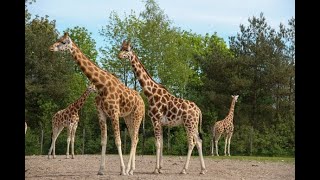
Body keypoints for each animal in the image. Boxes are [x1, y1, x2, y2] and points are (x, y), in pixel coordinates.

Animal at [48, 32, 145, 176]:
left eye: (64, 42)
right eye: (58, 39)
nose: (51, 48)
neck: (102, 85)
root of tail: (143, 101)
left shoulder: (114, 113)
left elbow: (118, 141)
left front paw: (122, 170)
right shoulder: (101, 114)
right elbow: (103, 141)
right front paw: (101, 170)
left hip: (137, 115)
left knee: (134, 138)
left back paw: (128, 170)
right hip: (128, 117)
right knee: (135, 138)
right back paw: (132, 169)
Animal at [119, 40, 206, 174]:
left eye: (127, 50)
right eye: (120, 48)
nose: (119, 56)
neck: (150, 93)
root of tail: (198, 110)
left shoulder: (155, 120)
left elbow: (158, 144)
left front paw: (155, 169)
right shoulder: (160, 123)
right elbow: (162, 143)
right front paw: (160, 168)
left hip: (189, 123)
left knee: (192, 143)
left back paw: (184, 170)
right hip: (194, 124)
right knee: (199, 141)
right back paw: (202, 170)